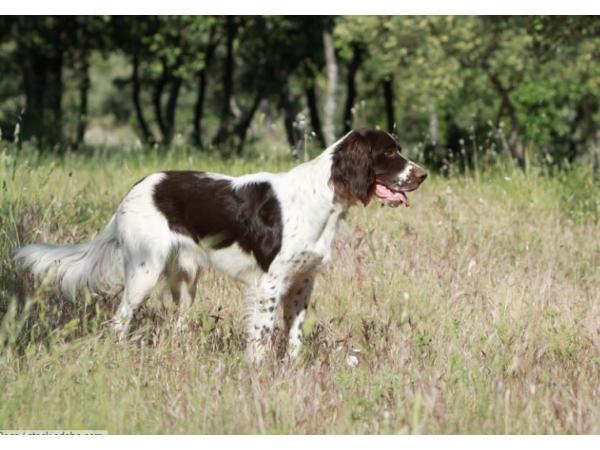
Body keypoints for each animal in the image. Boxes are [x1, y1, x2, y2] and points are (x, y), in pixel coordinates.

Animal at [12, 128, 426, 360]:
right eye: (389, 152)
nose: (422, 175)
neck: (323, 198)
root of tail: (135, 188)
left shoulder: (302, 283)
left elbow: (293, 337)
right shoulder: (269, 284)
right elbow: (261, 338)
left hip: (185, 279)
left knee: (177, 322)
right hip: (145, 269)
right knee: (120, 318)